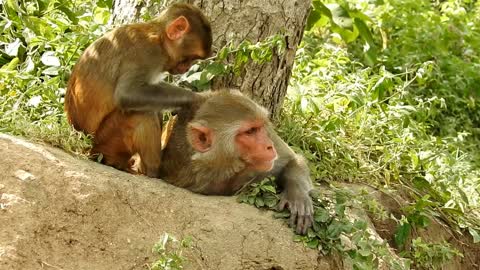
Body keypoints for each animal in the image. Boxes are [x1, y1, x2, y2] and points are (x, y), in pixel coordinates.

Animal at [65, 3, 212, 177]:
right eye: (189, 58)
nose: (187, 68)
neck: (158, 37)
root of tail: (80, 139)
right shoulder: (147, 53)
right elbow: (127, 94)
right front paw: (199, 98)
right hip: (105, 141)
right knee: (142, 114)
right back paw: (152, 170)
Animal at [158, 90, 316, 234]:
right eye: (250, 131)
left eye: (260, 127)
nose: (269, 146)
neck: (227, 168)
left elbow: (292, 160)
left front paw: (297, 195)